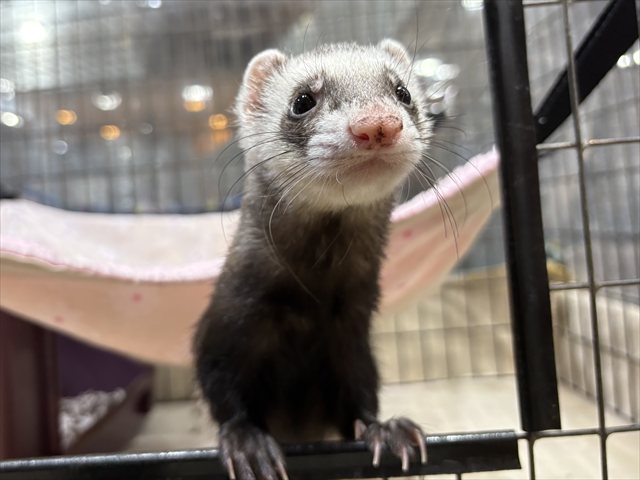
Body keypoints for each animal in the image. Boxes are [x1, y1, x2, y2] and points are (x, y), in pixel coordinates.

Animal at [194, 39, 431, 480]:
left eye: (403, 92)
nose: (378, 124)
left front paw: (387, 430)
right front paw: (247, 443)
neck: (312, 295)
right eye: (302, 100)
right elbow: (222, 387)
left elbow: (360, 394)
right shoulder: (229, 320)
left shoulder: (352, 333)